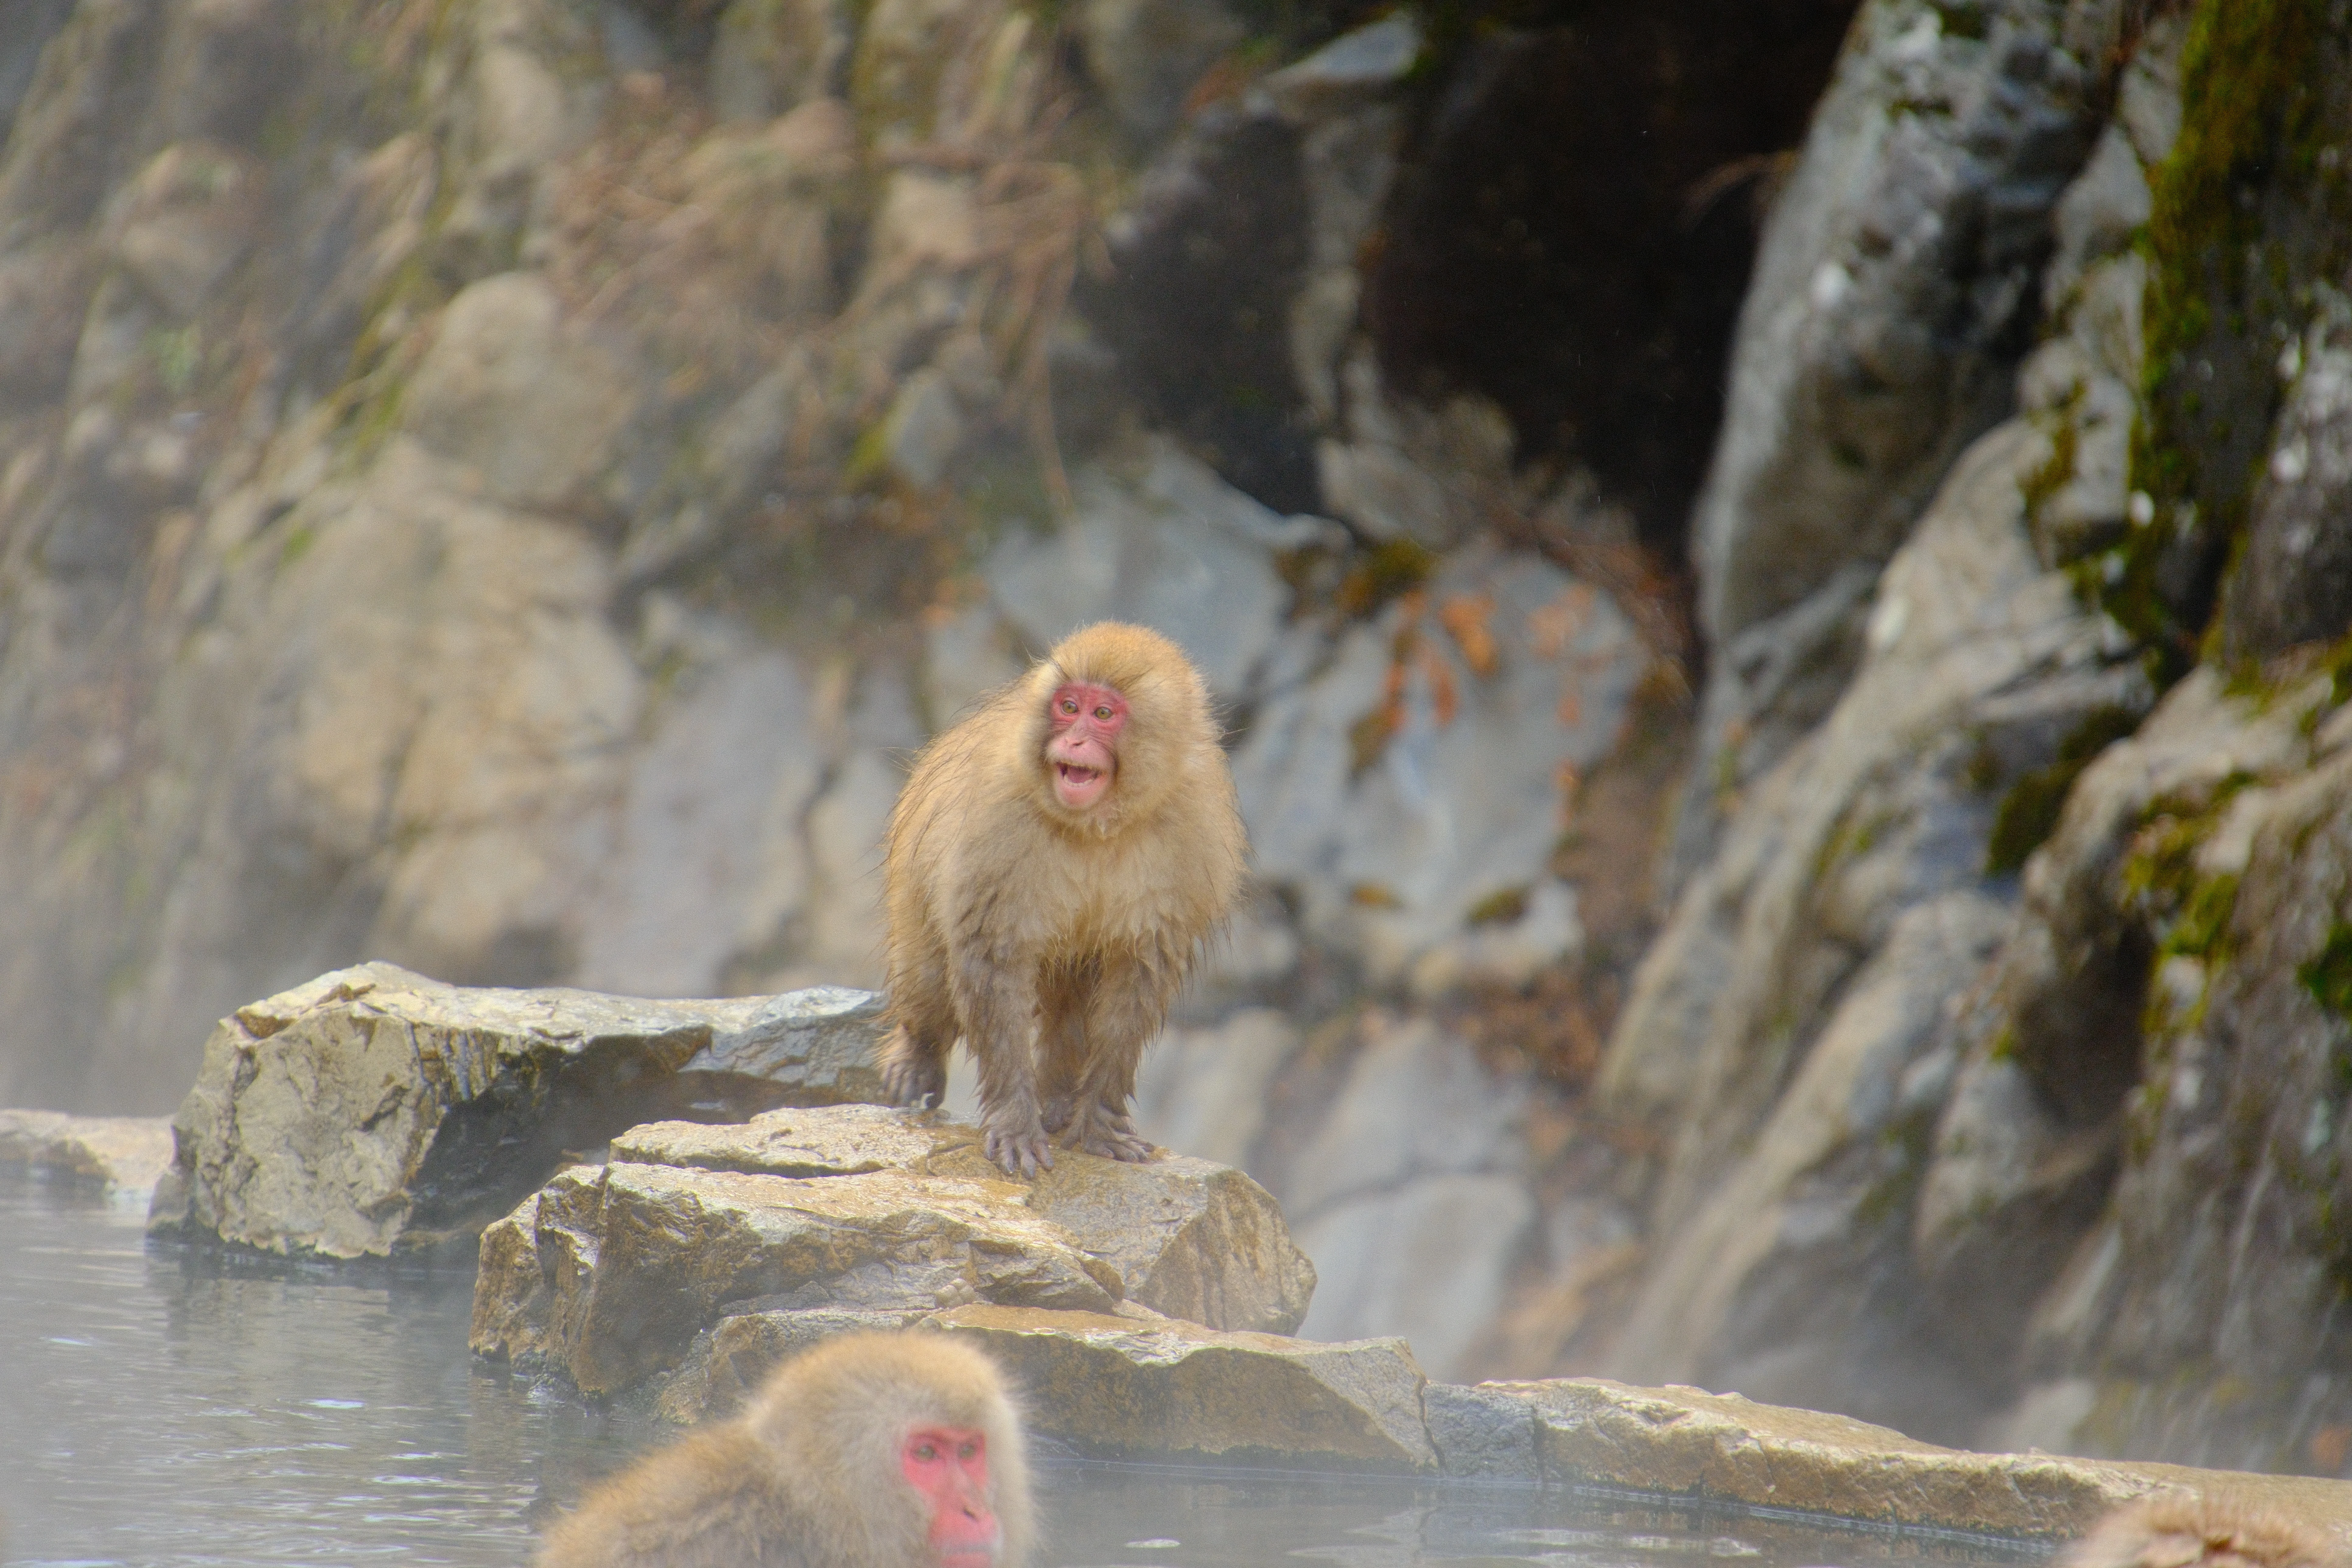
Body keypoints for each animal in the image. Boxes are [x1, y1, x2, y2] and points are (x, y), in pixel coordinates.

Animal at [878, 621, 1247, 1175]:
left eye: (1103, 714)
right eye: (1069, 707)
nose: (1073, 739)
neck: (1099, 826)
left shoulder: (1190, 829)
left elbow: (1136, 976)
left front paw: (1098, 1125)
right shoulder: (998, 821)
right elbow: (995, 963)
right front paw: (1015, 1122)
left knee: (1072, 998)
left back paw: (1056, 1099)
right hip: (911, 874)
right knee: (927, 973)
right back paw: (917, 1056)